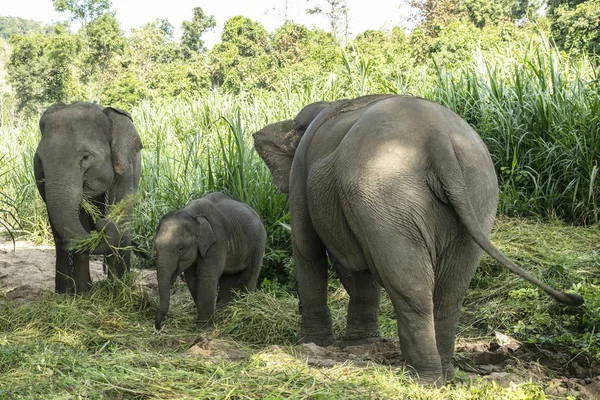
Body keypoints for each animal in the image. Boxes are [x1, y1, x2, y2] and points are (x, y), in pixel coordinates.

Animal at [34, 101, 143, 294]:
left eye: (86, 157)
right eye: (39, 159)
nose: (101, 226)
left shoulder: (126, 172)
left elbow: (121, 220)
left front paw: (119, 292)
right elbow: (79, 223)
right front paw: (82, 294)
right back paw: (64, 293)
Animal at [154, 192, 266, 330]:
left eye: (180, 248)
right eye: (155, 247)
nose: (159, 327)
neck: (190, 213)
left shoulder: (217, 241)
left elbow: (207, 277)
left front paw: (204, 327)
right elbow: (192, 279)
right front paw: (205, 323)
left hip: (259, 242)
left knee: (250, 275)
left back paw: (244, 309)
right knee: (228, 278)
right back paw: (224, 312)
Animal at [252, 94, 580, 384]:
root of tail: (438, 140)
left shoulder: (301, 175)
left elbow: (308, 249)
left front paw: (312, 344)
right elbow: (358, 266)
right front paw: (360, 345)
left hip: (386, 194)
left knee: (409, 286)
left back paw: (422, 379)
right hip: (477, 193)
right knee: (450, 291)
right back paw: (444, 374)